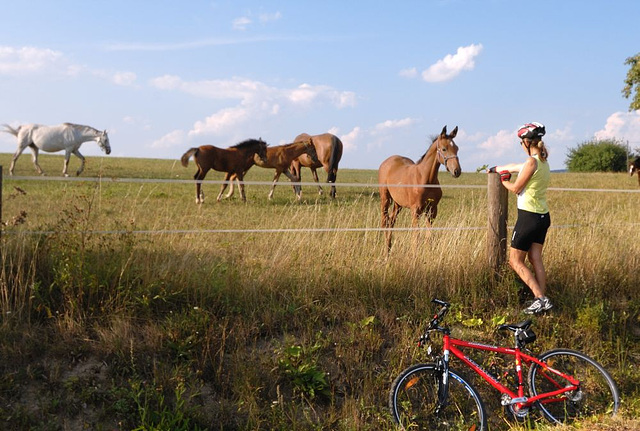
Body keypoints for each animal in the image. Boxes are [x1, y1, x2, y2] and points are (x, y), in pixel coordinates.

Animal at [378, 125, 462, 253]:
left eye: (456, 148)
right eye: (444, 149)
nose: (457, 171)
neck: (425, 178)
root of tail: (386, 162)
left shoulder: (432, 210)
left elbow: (429, 235)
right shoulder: (415, 210)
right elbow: (416, 235)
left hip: (398, 204)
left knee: (391, 222)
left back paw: (389, 247)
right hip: (385, 199)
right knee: (384, 222)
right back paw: (386, 252)